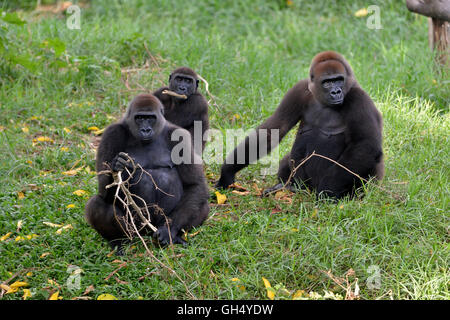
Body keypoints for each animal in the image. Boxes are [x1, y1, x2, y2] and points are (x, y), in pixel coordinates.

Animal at [85, 93, 210, 250]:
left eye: (151, 118)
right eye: (139, 118)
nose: (145, 130)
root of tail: (148, 231)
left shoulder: (180, 136)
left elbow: (194, 185)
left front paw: (168, 231)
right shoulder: (111, 134)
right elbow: (104, 190)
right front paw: (116, 166)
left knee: (202, 205)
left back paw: (175, 236)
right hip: (135, 228)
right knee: (97, 204)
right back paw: (117, 241)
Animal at [216, 51, 384, 199]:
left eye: (339, 80)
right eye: (327, 82)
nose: (336, 92)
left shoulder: (359, 99)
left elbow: (365, 145)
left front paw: (327, 191)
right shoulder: (299, 89)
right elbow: (275, 128)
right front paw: (227, 171)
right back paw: (287, 186)